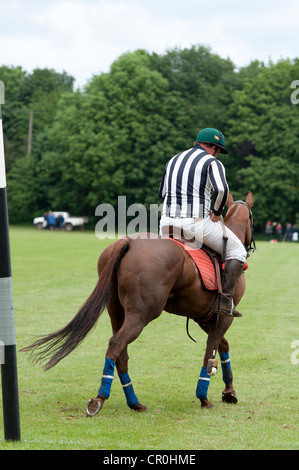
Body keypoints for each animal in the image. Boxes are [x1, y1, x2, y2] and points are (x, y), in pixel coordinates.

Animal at [21, 189, 255, 414]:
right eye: (252, 217)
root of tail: (127, 241)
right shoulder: (223, 316)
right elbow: (211, 351)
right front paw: (207, 396)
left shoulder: (204, 317)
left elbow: (221, 345)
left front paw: (228, 391)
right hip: (142, 313)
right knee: (117, 344)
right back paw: (100, 399)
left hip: (116, 311)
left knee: (121, 351)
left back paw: (133, 402)